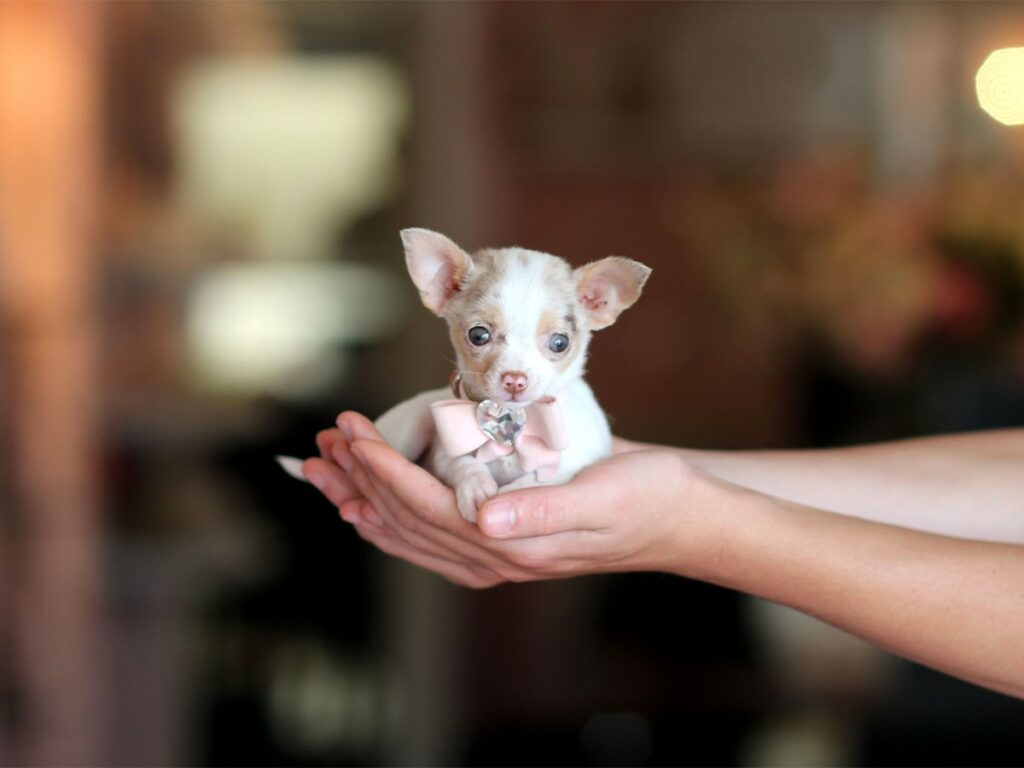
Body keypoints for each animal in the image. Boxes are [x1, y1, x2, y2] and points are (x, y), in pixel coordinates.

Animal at [372, 228, 651, 524]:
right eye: (478, 335)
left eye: (560, 343)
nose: (515, 380)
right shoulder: (444, 452)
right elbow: (461, 462)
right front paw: (475, 485)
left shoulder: (573, 464)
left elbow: (540, 481)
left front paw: (509, 496)